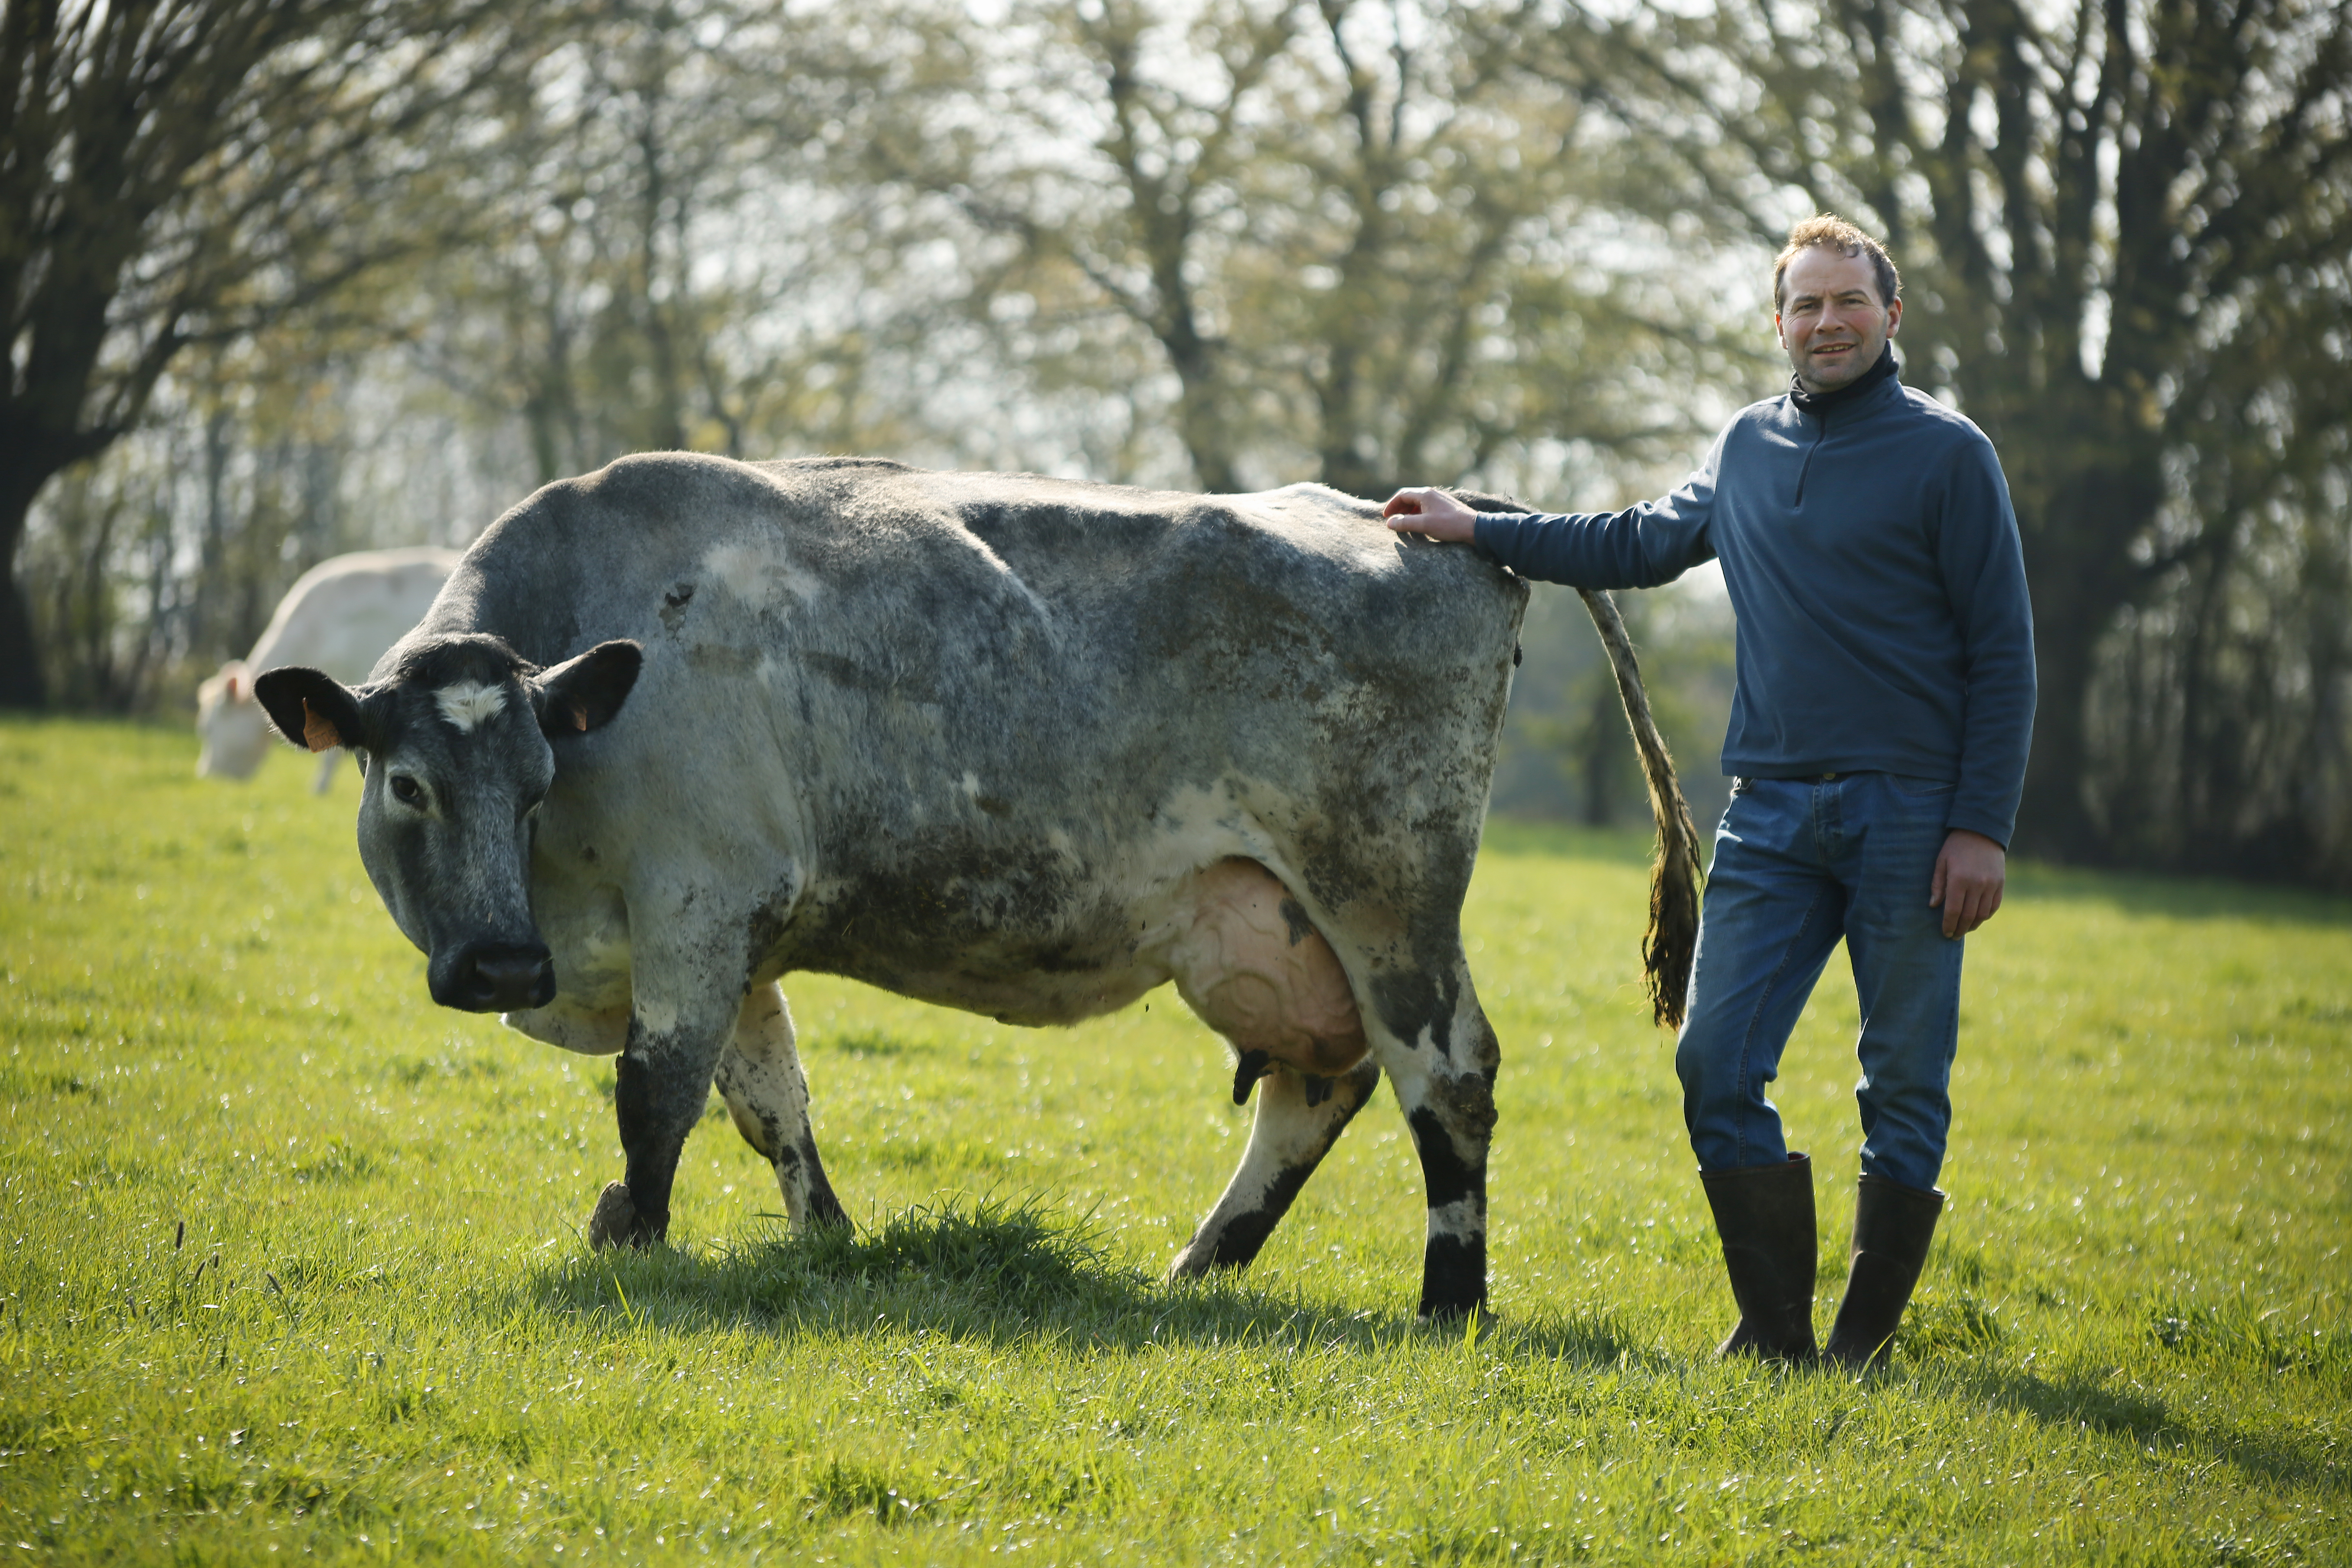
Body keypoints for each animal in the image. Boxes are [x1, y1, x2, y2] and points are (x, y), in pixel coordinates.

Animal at [253, 456, 1693, 1326]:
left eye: (540, 775)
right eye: (408, 786)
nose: (501, 967)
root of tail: (1401, 517)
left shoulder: (697, 905)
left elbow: (654, 1096)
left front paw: (633, 1238)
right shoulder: (739, 940)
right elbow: (769, 1102)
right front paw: (827, 1238)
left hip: (1386, 894)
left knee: (1447, 1074)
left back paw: (1449, 1299)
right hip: (1278, 922)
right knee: (1316, 1090)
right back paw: (1198, 1268)